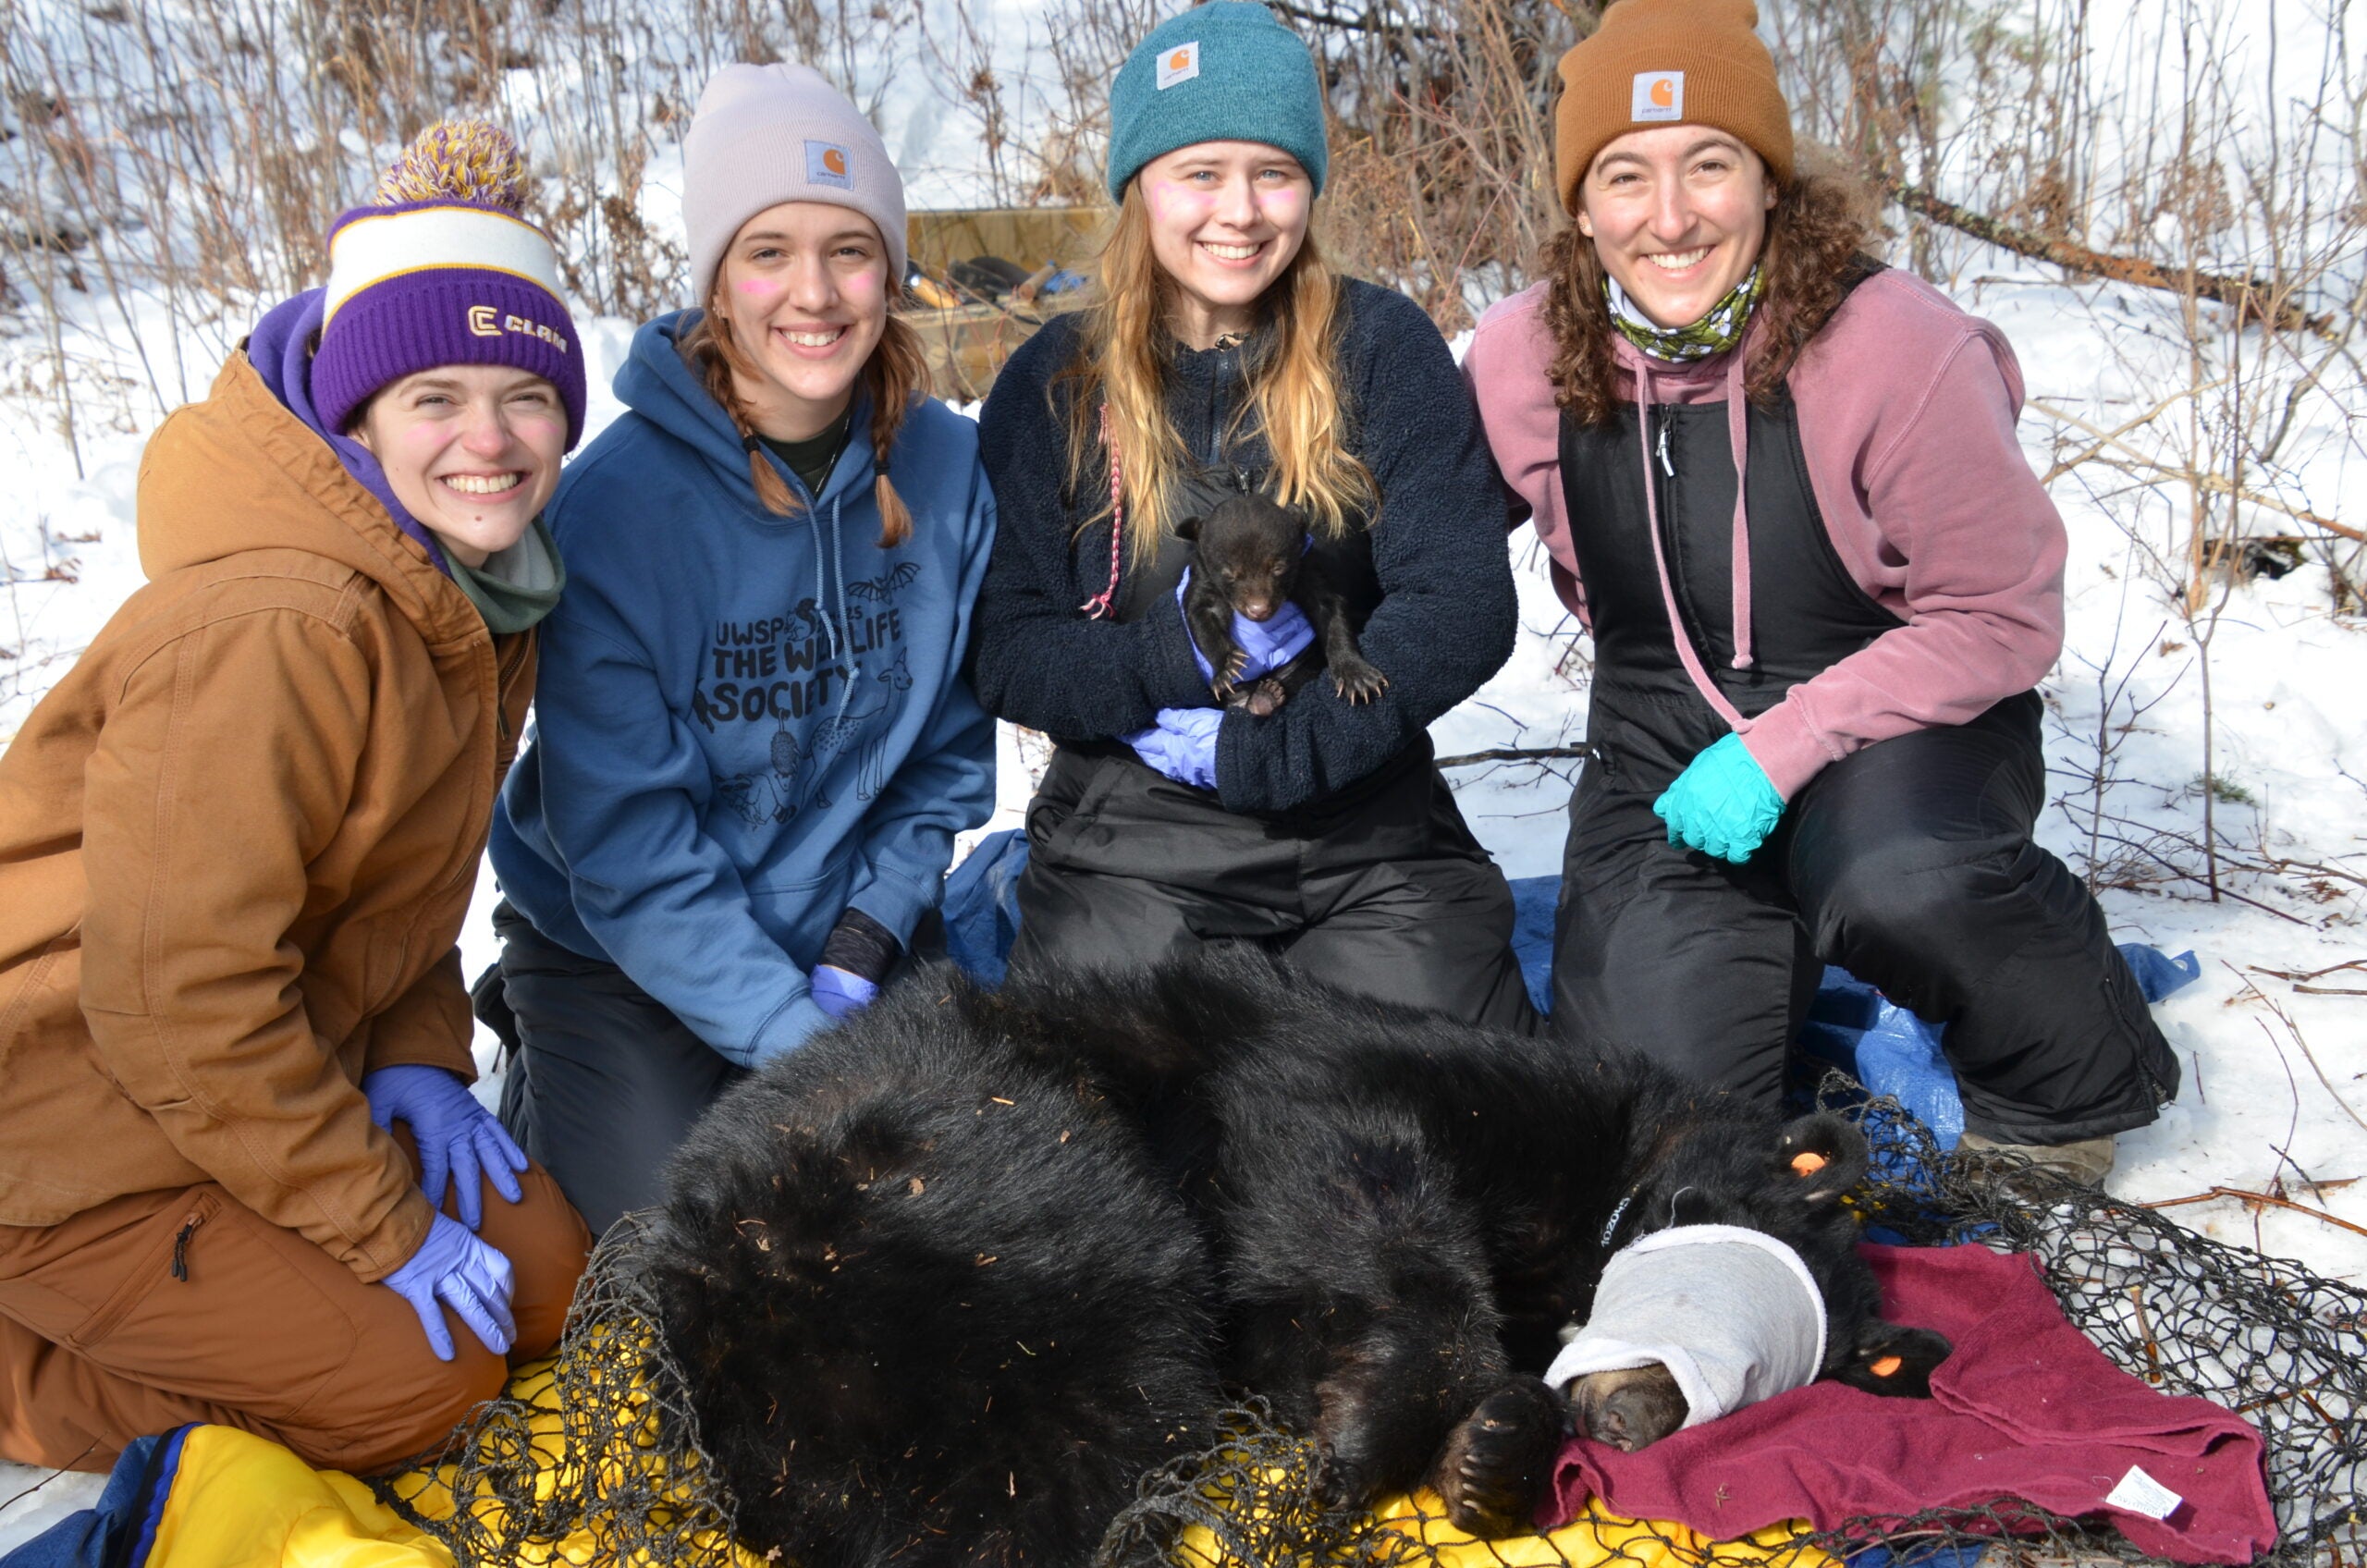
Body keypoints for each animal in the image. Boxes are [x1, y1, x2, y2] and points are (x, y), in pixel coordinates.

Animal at [644, 951, 1948, 1565]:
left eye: (1767, 1382)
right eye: (1711, 1287)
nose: (1635, 1418)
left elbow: (1305, 1327)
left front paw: (1492, 1452)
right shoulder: (1368, 1078)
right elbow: (1339, 1161)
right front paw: (1381, 1437)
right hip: (991, 1176)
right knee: (1105, 1386)